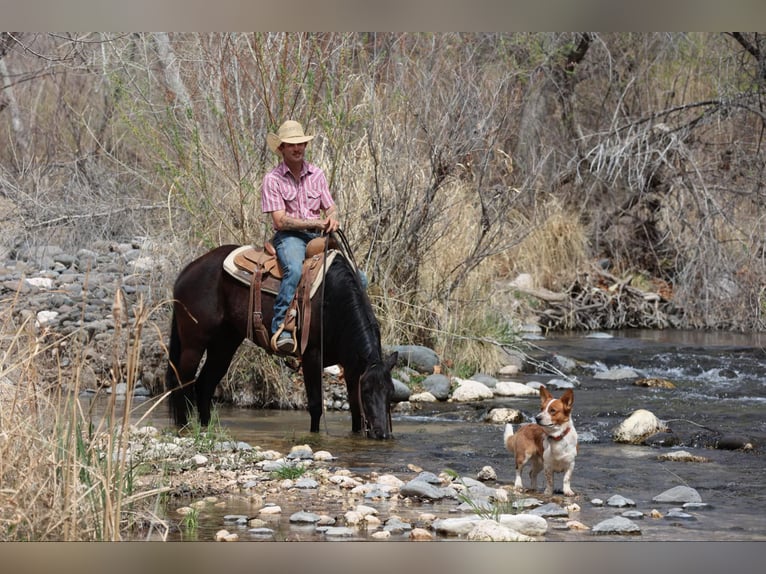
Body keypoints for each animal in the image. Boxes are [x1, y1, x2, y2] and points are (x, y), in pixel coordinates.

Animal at [165, 243, 397, 439]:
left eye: (391, 393)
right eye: (367, 391)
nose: (382, 434)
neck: (332, 302)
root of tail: (187, 271)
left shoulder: (351, 365)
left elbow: (355, 411)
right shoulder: (312, 355)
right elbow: (315, 406)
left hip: (224, 344)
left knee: (205, 384)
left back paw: (206, 428)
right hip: (193, 344)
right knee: (182, 381)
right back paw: (184, 427)